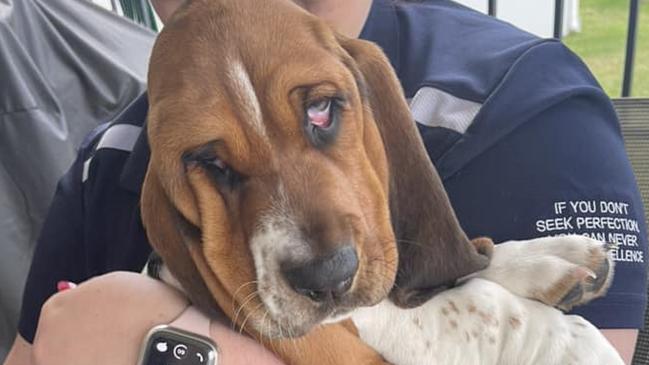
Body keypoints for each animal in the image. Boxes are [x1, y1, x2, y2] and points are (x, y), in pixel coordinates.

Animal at [140, 0, 624, 362]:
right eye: (208, 161)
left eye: (321, 110)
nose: (328, 277)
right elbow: (457, 309)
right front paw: (564, 342)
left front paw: (545, 258)